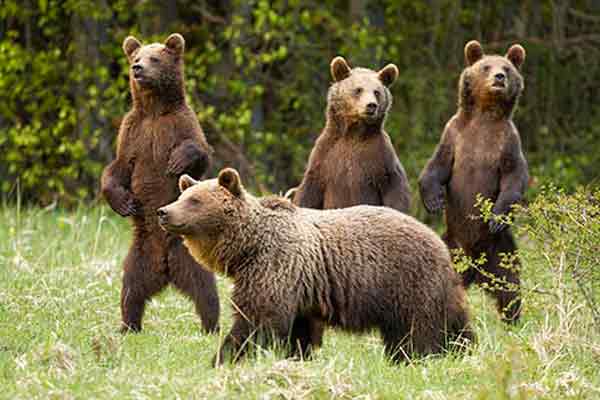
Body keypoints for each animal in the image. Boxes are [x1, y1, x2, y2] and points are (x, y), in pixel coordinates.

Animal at [101, 32, 220, 332]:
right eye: (135, 56)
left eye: (154, 58)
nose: (137, 68)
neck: (154, 110)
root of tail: (165, 269)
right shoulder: (132, 133)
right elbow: (117, 169)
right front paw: (124, 203)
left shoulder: (182, 124)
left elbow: (200, 154)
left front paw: (177, 160)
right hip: (138, 257)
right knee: (130, 291)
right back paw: (128, 325)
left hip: (188, 256)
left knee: (206, 291)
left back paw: (210, 326)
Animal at [156, 167, 474, 364]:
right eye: (182, 195)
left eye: (195, 200)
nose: (163, 212)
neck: (247, 247)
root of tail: (437, 240)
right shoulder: (299, 288)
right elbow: (298, 330)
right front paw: (296, 355)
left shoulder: (274, 266)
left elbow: (257, 319)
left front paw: (225, 357)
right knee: (449, 322)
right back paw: (459, 349)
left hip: (408, 280)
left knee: (418, 329)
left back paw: (418, 357)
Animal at [292, 57, 412, 212]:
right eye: (358, 90)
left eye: (376, 92)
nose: (371, 105)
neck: (354, 133)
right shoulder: (324, 157)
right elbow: (308, 192)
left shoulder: (381, 158)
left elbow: (394, 188)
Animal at [418, 39, 528, 322]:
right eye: (486, 66)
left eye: (507, 67)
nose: (499, 77)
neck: (485, 116)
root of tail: (475, 271)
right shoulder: (454, 135)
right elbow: (436, 166)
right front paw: (434, 201)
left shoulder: (508, 142)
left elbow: (514, 178)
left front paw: (496, 217)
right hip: (450, 245)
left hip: (500, 250)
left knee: (509, 283)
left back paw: (512, 318)